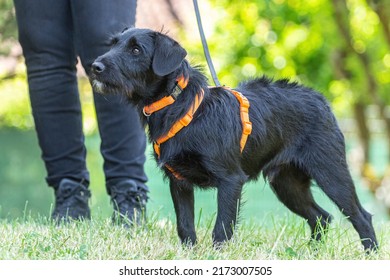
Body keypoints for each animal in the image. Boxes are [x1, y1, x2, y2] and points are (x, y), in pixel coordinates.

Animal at [89, 27, 378, 252]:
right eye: (113, 44)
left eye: (136, 50)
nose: (94, 67)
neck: (179, 106)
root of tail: (320, 99)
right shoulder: (179, 182)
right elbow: (185, 225)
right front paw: (190, 255)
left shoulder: (230, 180)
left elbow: (222, 227)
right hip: (287, 183)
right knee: (321, 216)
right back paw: (313, 252)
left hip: (331, 173)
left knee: (361, 216)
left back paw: (370, 254)